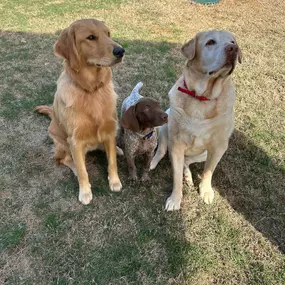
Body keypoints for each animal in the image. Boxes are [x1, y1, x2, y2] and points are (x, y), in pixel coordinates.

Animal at [35, 18, 124, 204]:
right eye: (91, 37)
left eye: (108, 34)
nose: (121, 51)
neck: (91, 90)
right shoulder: (75, 140)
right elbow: (83, 171)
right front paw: (84, 192)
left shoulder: (109, 129)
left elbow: (112, 161)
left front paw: (115, 181)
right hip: (62, 143)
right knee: (63, 160)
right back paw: (75, 168)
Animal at [150, 30, 241, 210]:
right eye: (210, 42)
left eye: (233, 42)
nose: (233, 49)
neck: (202, 97)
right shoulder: (176, 144)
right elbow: (175, 176)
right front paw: (175, 199)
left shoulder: (218, 147)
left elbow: (208, 172)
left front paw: (205, 191)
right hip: (165, 128)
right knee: (162, 151)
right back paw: (153, 163)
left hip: (204, 153)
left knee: (187, 161)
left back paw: (187, 175)